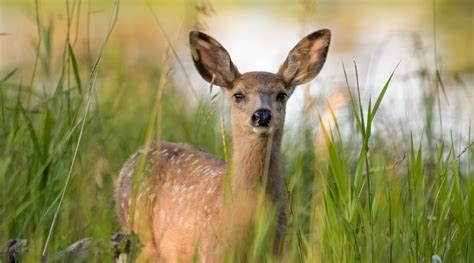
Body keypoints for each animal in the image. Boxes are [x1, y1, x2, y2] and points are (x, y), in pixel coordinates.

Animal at [115, 27, 330, 262]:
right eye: (238, 95)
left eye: (281, 95)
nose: (262, 115)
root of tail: (131, 159)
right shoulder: (211, 251)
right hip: (143, 234)